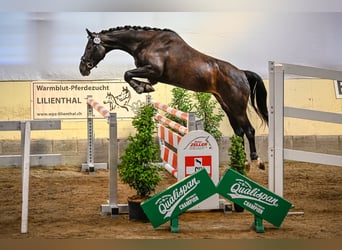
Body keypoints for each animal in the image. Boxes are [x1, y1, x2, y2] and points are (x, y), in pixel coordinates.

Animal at [79, 25, 268, 169]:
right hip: (226, 105)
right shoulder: (153, 75)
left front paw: (141, 88)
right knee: (239, 131)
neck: (145, 43)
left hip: (237, 106)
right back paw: (243, 162)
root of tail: (241, 73)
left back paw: (256, 160)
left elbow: (127, 74)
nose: (83, 68)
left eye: (89, 47)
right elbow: (131, 76)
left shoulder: (153, 71)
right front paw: (144, 87)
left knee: (249, 130)